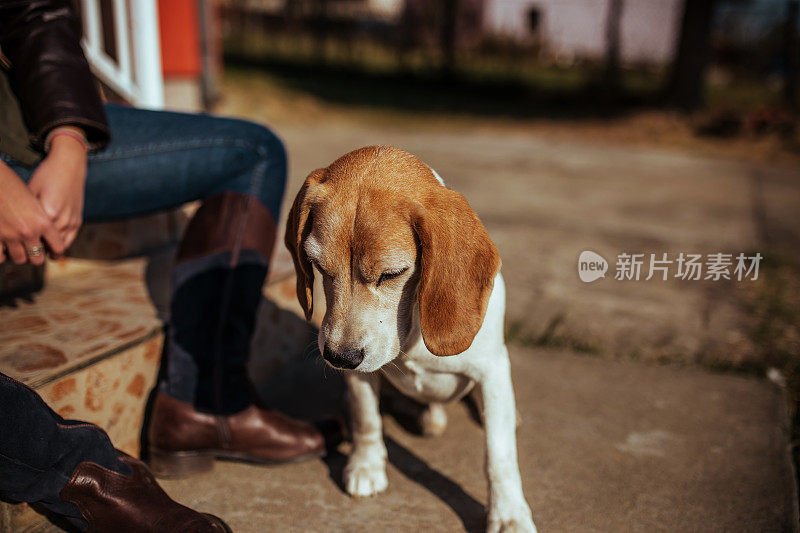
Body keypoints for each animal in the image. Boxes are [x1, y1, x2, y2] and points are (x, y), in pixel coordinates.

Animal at [284, 147, 536, 532]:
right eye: (318, 267)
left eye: (392, 274)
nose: (339, 357)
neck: (414, 329)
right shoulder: (359, 373)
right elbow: (366, 416)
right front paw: (366, 464)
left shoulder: (492, 371)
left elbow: (499, 453)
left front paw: (508, 514)